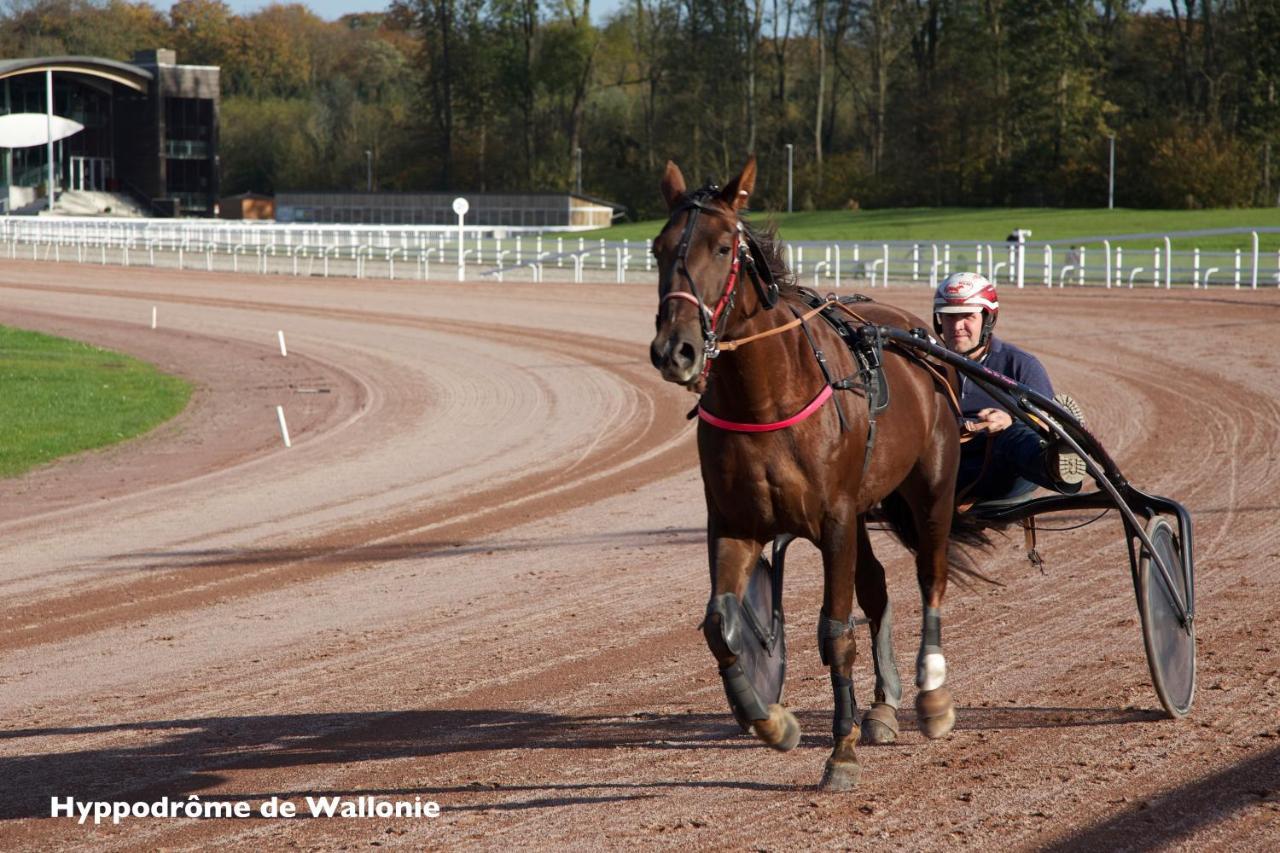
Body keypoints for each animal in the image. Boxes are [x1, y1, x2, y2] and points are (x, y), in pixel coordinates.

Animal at [645, 156, 983, 788]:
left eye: (723, 246)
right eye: (658, 248)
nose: (674, 350)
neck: (766, 397)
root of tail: (915, 334)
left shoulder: (835, 520)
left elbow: (834, 632)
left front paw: (841, 751)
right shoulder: (734, 522)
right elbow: (719, 624)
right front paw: (769, 719)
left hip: (931, 489)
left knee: (930, 576)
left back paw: (930, 695)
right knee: (877, 588)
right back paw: (883, 706)